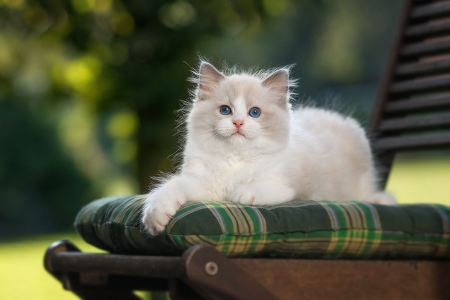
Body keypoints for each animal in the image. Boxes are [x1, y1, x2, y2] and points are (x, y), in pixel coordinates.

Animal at [142, 62, 396, 236]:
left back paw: (382, 200)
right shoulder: (202, 183)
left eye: (254, 112)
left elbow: (256, 187)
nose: (238, 123)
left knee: (368, 193)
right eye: (225, 110)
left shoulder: (287, 187)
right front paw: (155, 218)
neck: (234, 160)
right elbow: (168, 188)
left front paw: (238, 193)